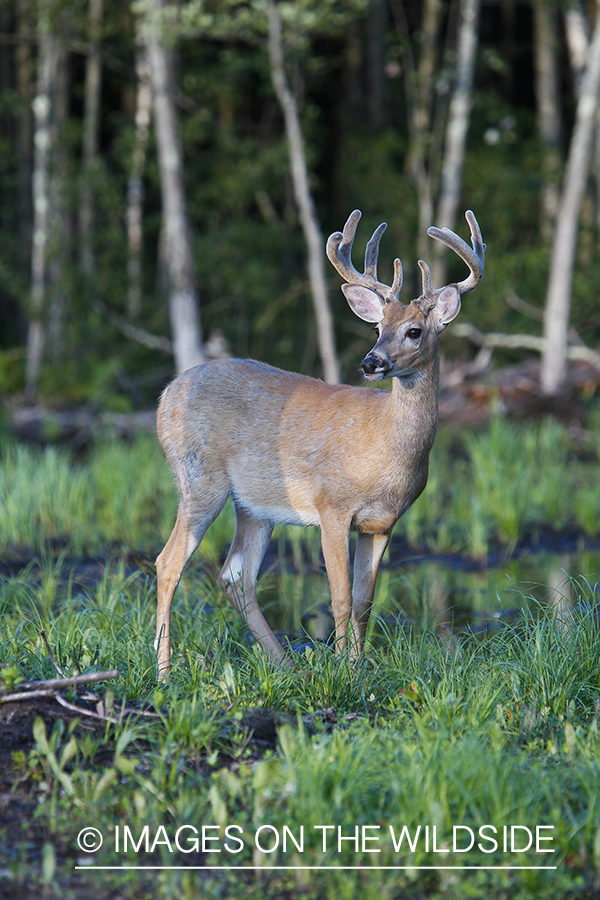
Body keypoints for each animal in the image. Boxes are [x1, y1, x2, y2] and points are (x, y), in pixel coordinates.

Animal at [155, 209, 482, 676]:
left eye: (415, 331)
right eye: (378, 326)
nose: (371, 362)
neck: (387, 447)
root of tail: (165, 396)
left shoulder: (382, 523)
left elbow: (364, 601)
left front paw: (359, 667)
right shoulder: (332, 506)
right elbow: (340, 597)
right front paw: (344, 668)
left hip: (254, 505)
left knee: (235, 576)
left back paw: (283, 664)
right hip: (199, 478)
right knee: (168, 563)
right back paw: (164, 672)